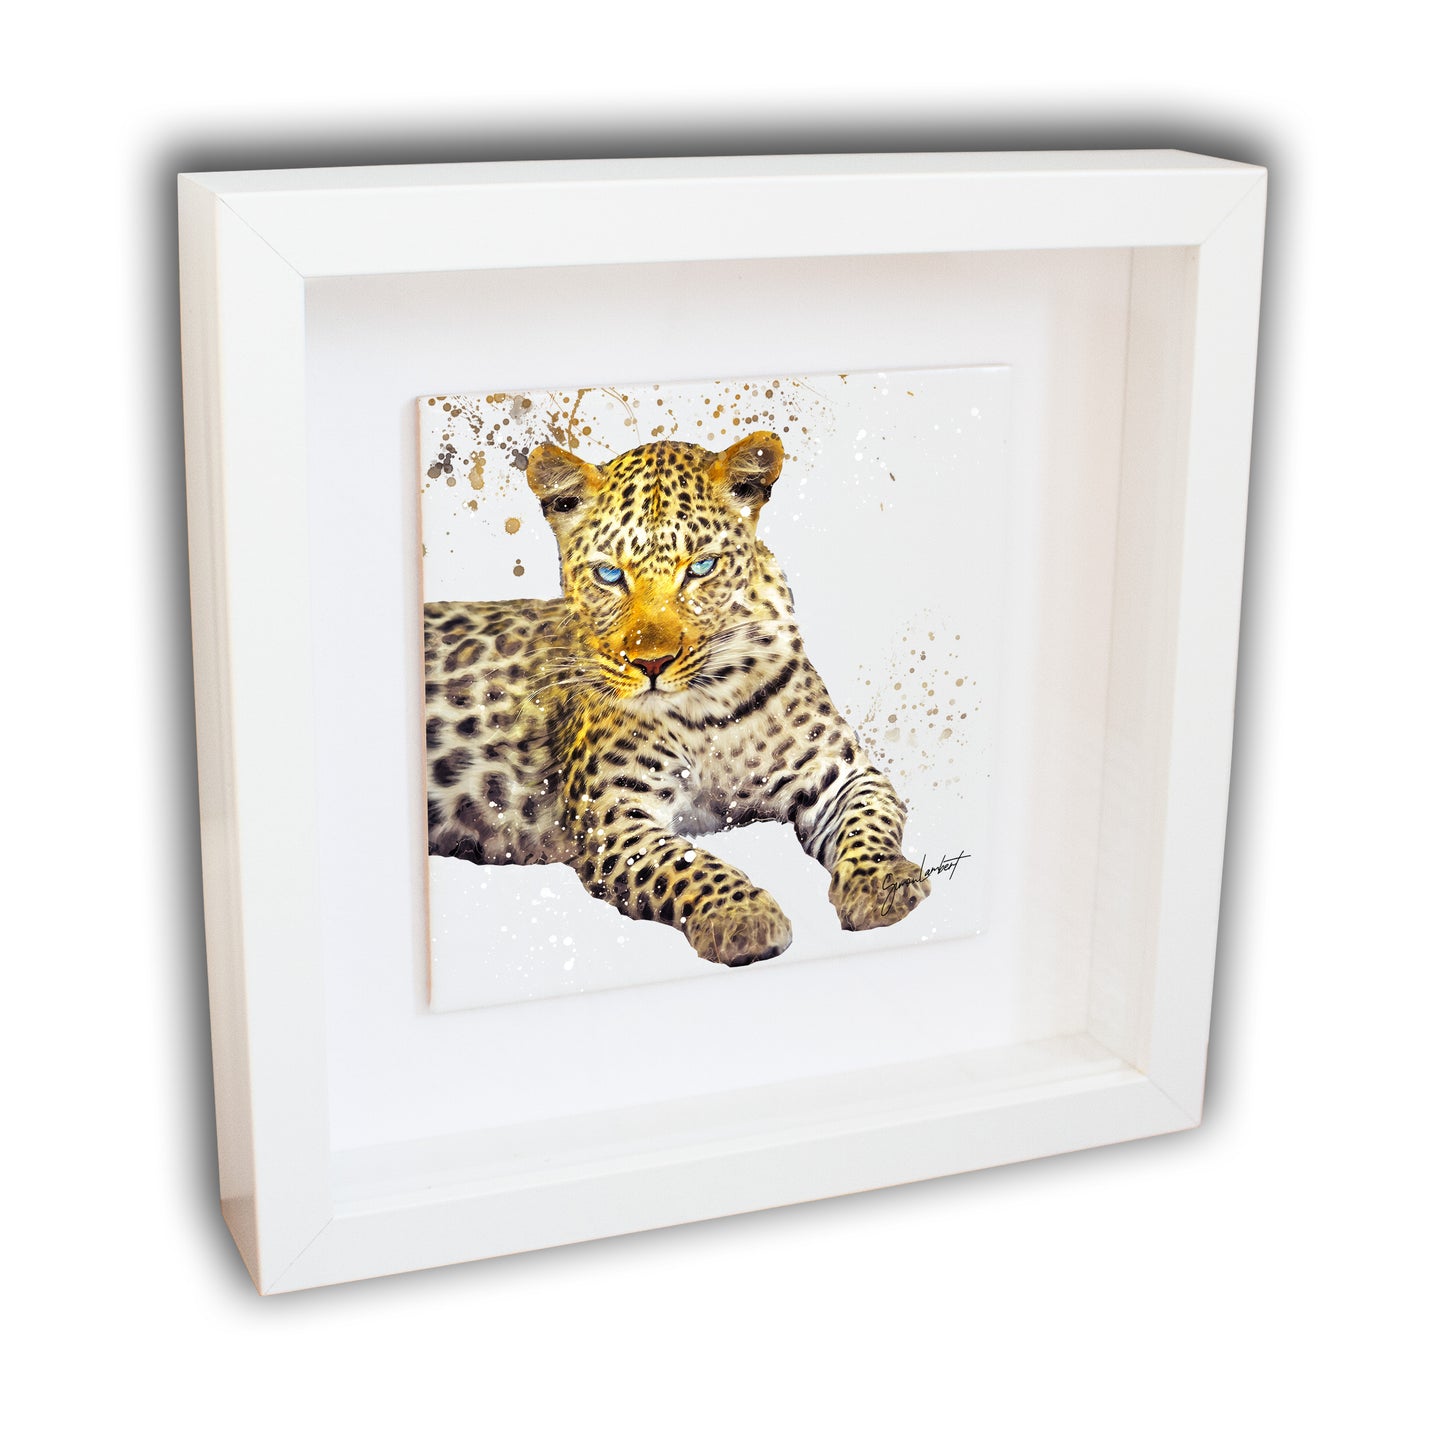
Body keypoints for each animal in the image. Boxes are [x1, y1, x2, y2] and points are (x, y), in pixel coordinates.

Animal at [424, 430, 930, 967]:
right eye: (609, 575)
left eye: (701, 568)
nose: (652, 664)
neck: (712, 706)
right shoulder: (612, 814)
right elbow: (685, 863)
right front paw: (743, 917)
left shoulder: (842, 773)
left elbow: (867, 824)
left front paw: (882, 885)